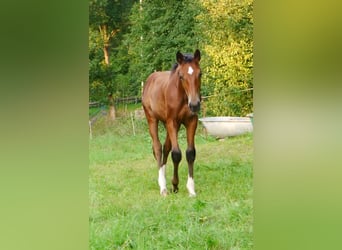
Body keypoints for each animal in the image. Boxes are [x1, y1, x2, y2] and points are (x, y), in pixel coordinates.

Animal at [141, 49, 200, 197]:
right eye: (181, 76)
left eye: (200, 74)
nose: (195, 104)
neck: (183, 97)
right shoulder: (172, 122)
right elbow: (176, 154)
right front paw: (174, 184)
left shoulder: (191, 121)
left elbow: (190, 153)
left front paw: (190, 189)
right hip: (152, 119)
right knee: (157, 147)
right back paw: (163, 186)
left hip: (169, 124)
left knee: (165, 147)